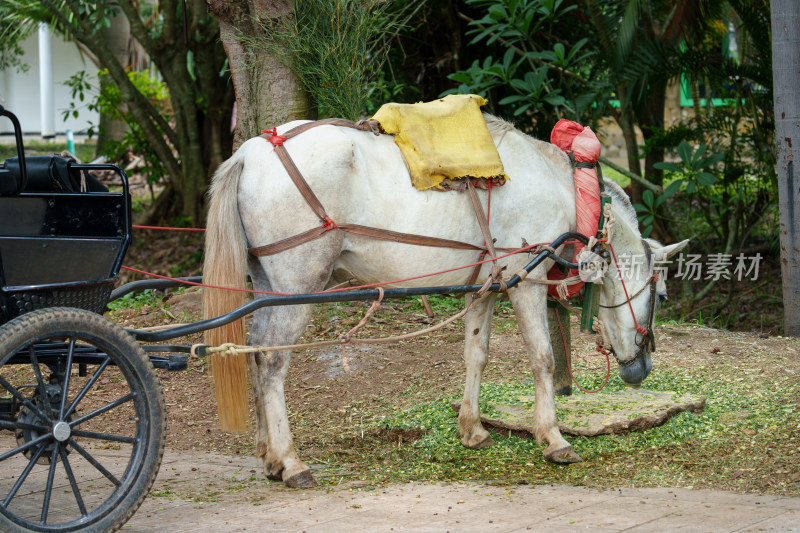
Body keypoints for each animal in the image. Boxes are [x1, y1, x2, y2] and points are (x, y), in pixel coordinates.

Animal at [200, 115, 688, 486]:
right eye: (662, 295)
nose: (642, 370)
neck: (565, 187)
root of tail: (250, 153)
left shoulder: (486, 288)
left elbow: (477, 354)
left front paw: (472, 429)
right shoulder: (524, 282)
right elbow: (544, 359)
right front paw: (552, 438)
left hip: (266, 285)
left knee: (253, 350)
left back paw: (269, 456)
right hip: (297, 283)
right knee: (272, 361)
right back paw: (291, 460)